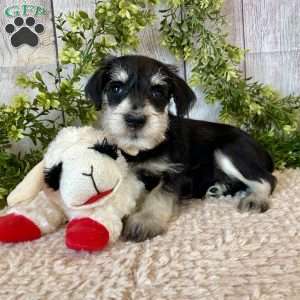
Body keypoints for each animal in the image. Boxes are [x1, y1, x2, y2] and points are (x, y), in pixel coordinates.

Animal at [84, 54, 276, 241]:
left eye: (157, 91)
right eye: (116, 88)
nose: (135, 120)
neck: (142, 150)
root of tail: (263, 150)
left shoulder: (176, 173)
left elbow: (158, 194)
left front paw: (146, 220)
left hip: (229, 151)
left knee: (267, 179)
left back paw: (255, 199)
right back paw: (218, 188)